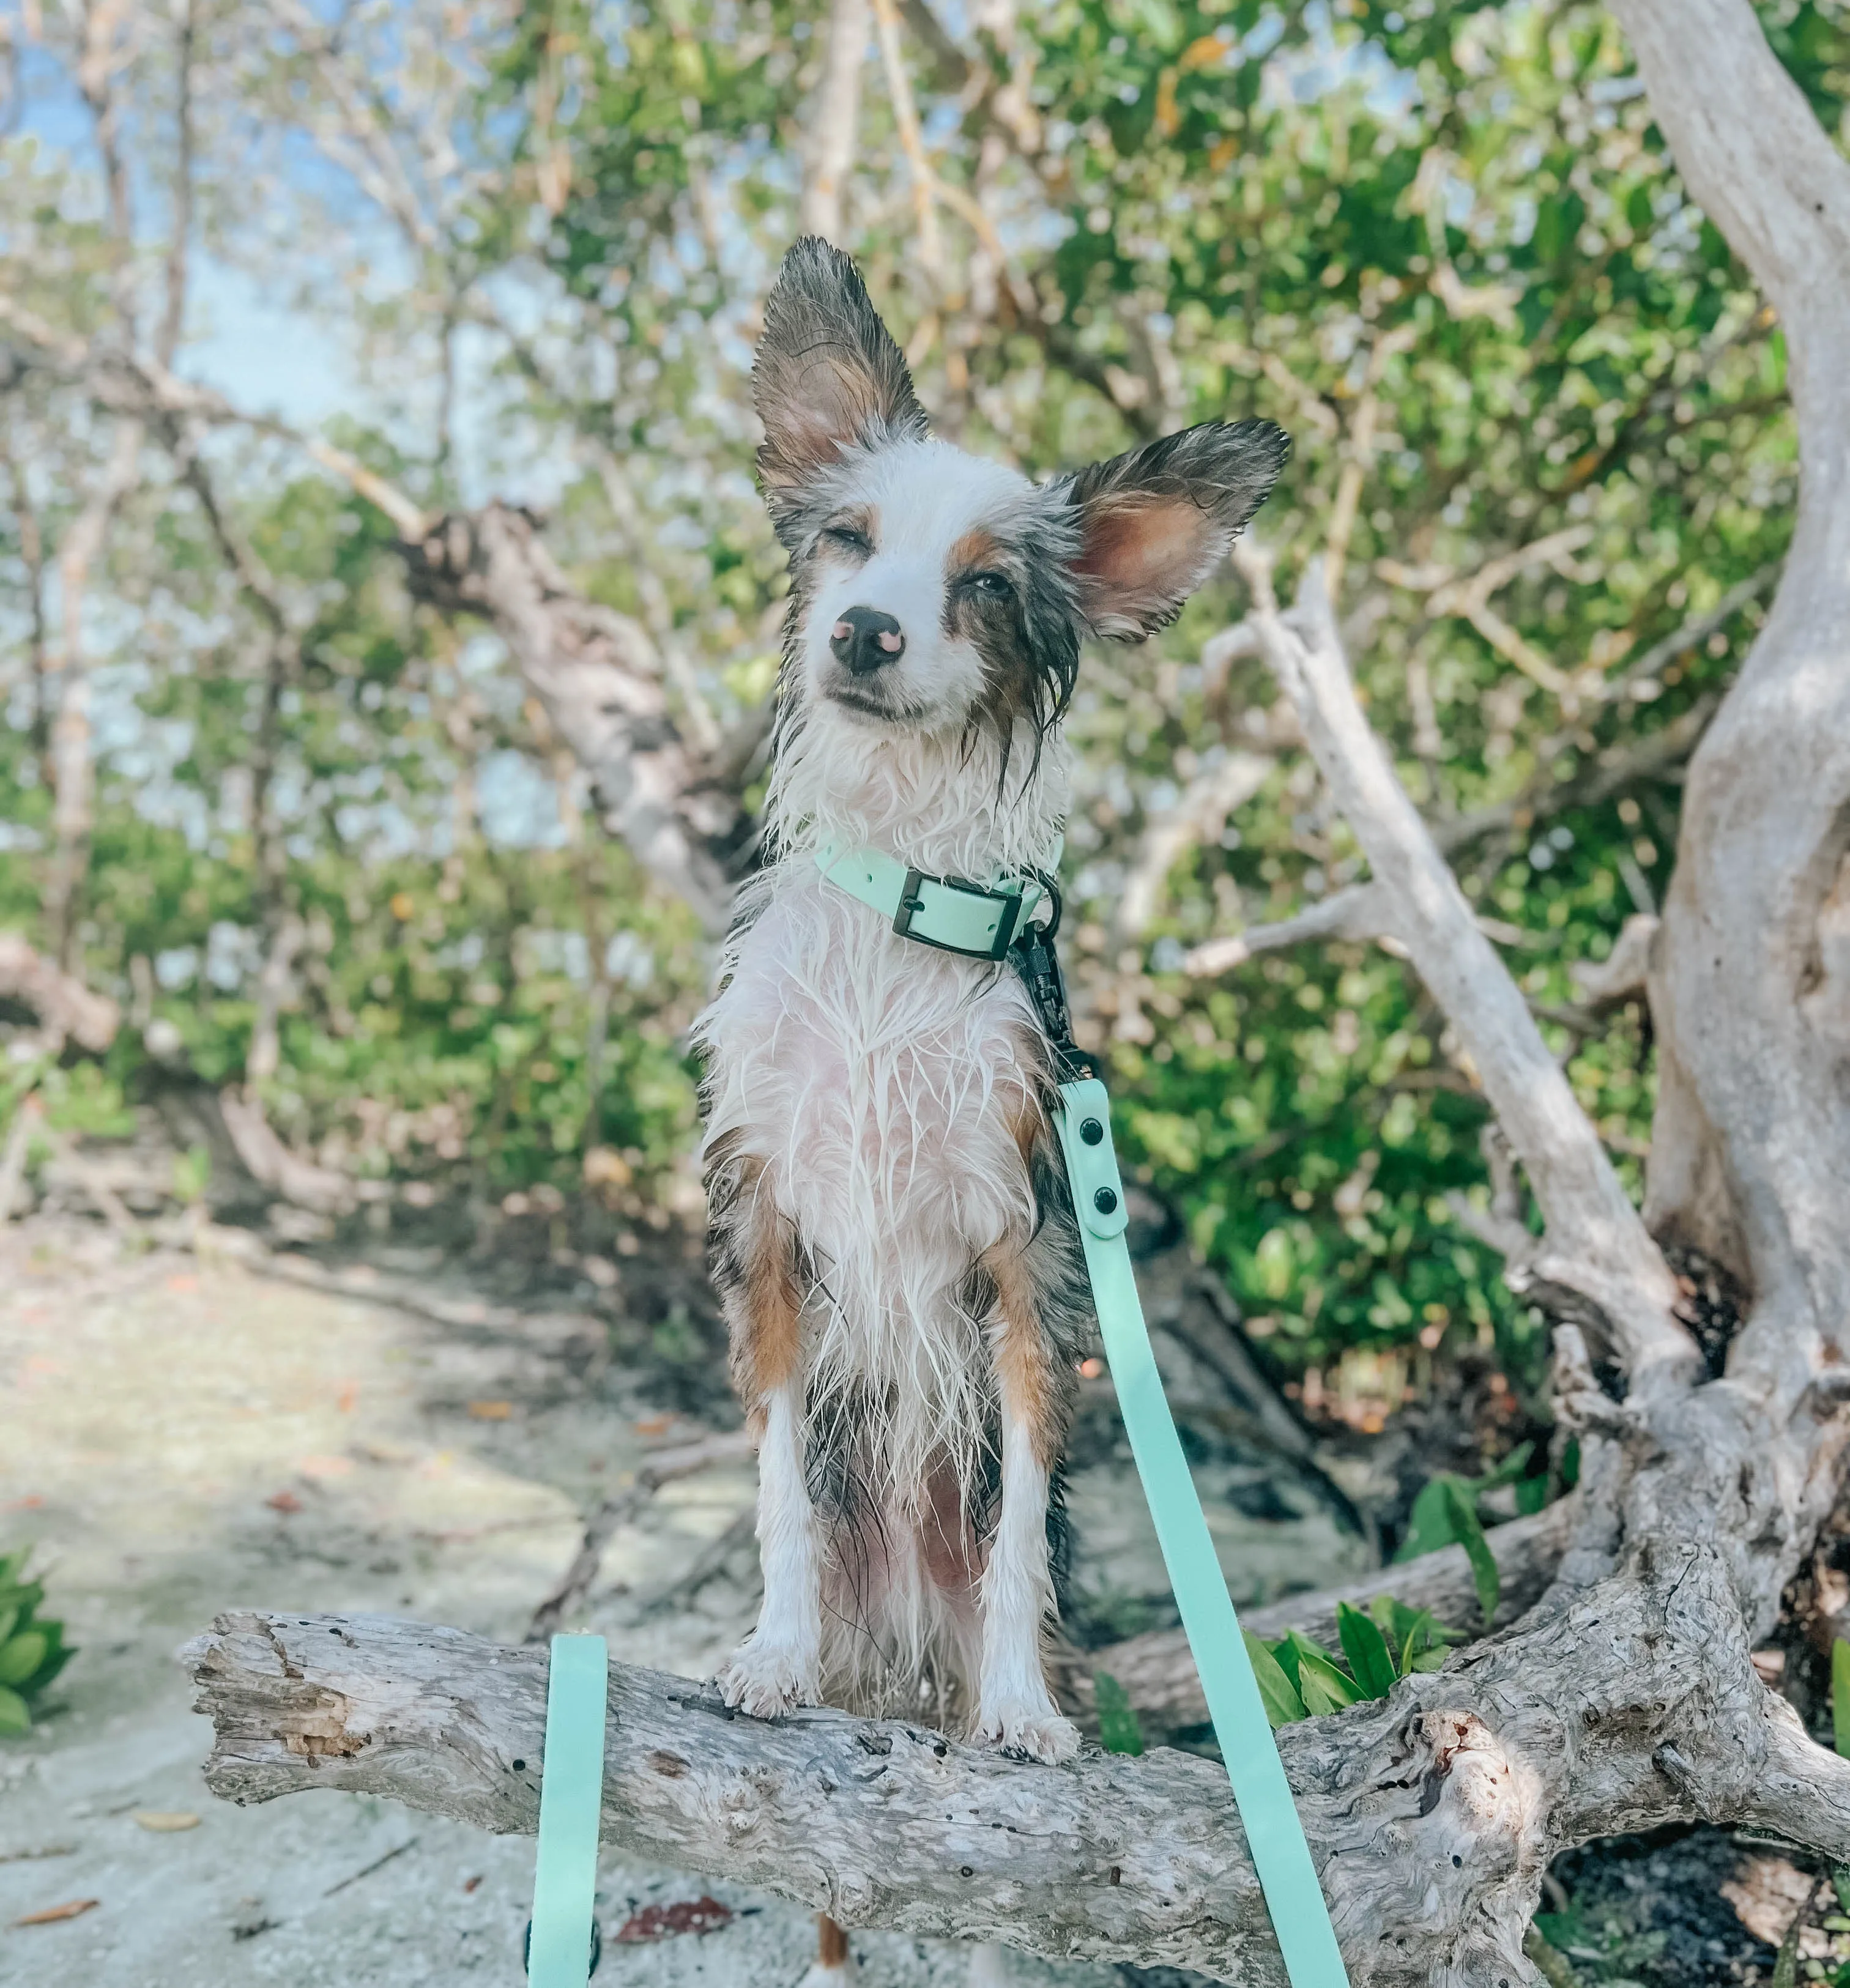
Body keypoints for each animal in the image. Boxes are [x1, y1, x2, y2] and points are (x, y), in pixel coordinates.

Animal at [692, 236, 1281, 1956]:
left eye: (985, 586)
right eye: (848, 542)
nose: (866, 634)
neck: (899, 896)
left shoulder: (1029, 1253)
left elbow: (1021, 1514)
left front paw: (1023, 1703)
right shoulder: (770, 1233)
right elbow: (774, 1482)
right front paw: (769, 1647)